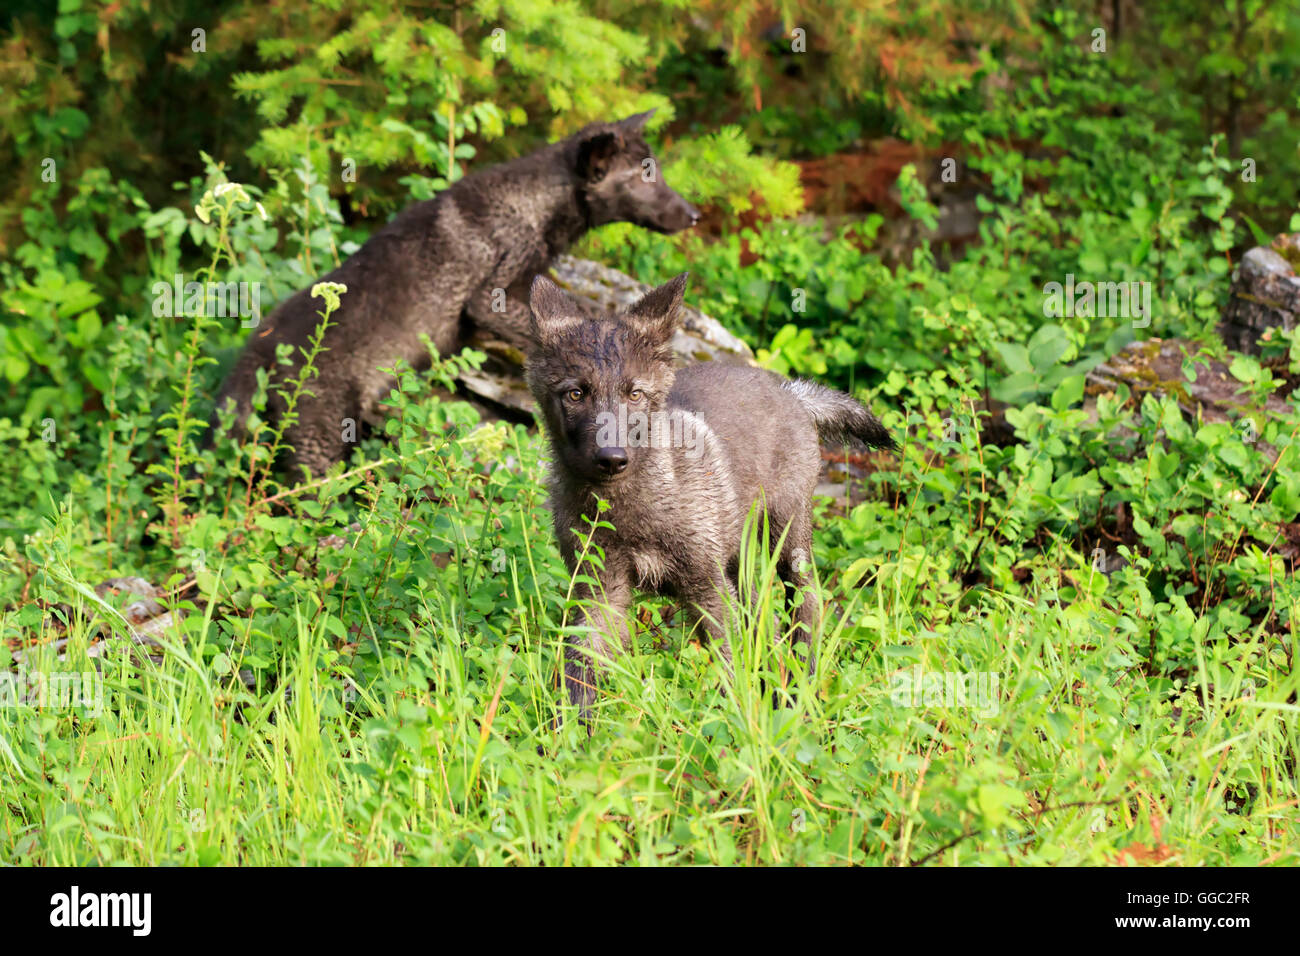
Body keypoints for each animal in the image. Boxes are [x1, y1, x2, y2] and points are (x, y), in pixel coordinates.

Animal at [213, 110, 698, 479]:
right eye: (642, 177)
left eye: (655, 169)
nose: (694, 215)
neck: (534, 206)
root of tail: (257, 349)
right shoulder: (488, 299)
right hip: (321, 437)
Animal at [526, 272, 895, 724]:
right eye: (576, 394)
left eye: (635, 394)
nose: (612, 458)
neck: (629, 508)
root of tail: (791, 390)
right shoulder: (599, 589)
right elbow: (581, 666)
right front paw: (572, 735)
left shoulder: (707, 585)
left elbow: (730, 664)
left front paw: (740, 728)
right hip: (742, 561)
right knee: (765, 622)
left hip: (787, 536)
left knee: (807, 606)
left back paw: (798, 697)